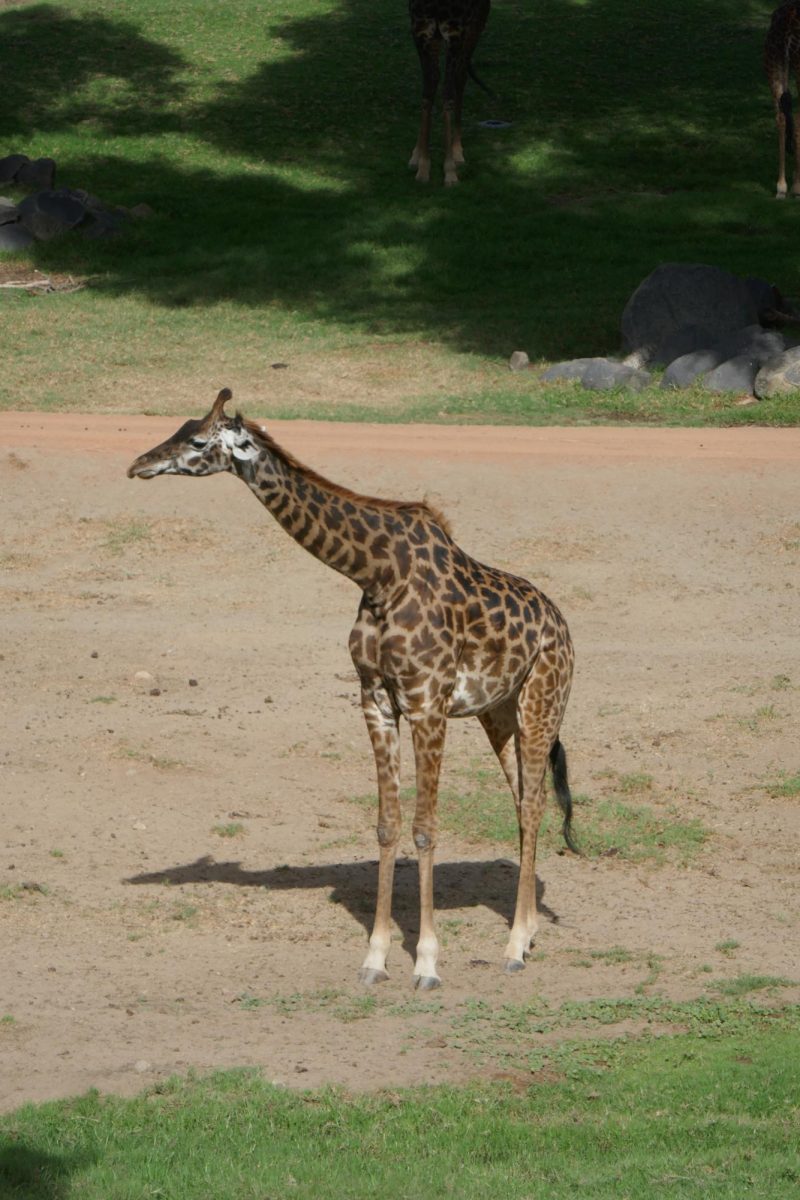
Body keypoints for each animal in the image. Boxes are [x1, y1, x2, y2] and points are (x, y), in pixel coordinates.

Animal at [128, 388, 575, 988]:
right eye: (179, 428)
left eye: (198, 441)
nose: (138, 465)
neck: (377, 573)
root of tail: (562, 625)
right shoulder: (376, 700)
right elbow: (387, 825)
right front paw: (375, 959)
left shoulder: (427, 702)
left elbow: (424, 827)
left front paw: (427, 963)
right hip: (498, 713)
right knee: (527, 799)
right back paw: (524, 935)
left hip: (541, 703)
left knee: (531, 805)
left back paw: (513, 948)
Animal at [410, 0, 491, 182]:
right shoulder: (421, 31)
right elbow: (428, 90)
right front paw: (423, 166)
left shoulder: (455, 34)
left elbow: (447, 92)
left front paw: (450, 170)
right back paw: (416, 153)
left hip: (474, 31)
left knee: (460, 79)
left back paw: (457, 151)